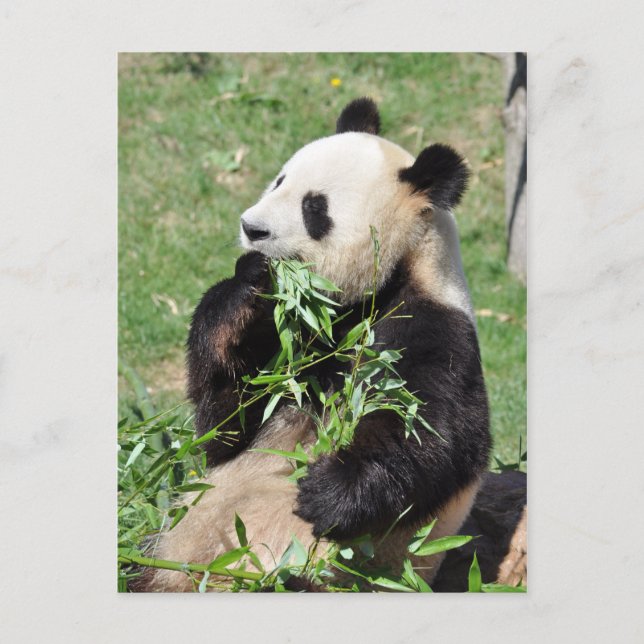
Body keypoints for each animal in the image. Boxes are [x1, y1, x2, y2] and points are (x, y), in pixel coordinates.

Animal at [140, 98, 491, 592]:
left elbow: (435, 435)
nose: (252, 228)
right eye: (279, 180)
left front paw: (326, 492)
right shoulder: (295, 345)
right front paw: (248, 285)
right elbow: (225, 424)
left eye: (315, 208)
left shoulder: (432, 330)